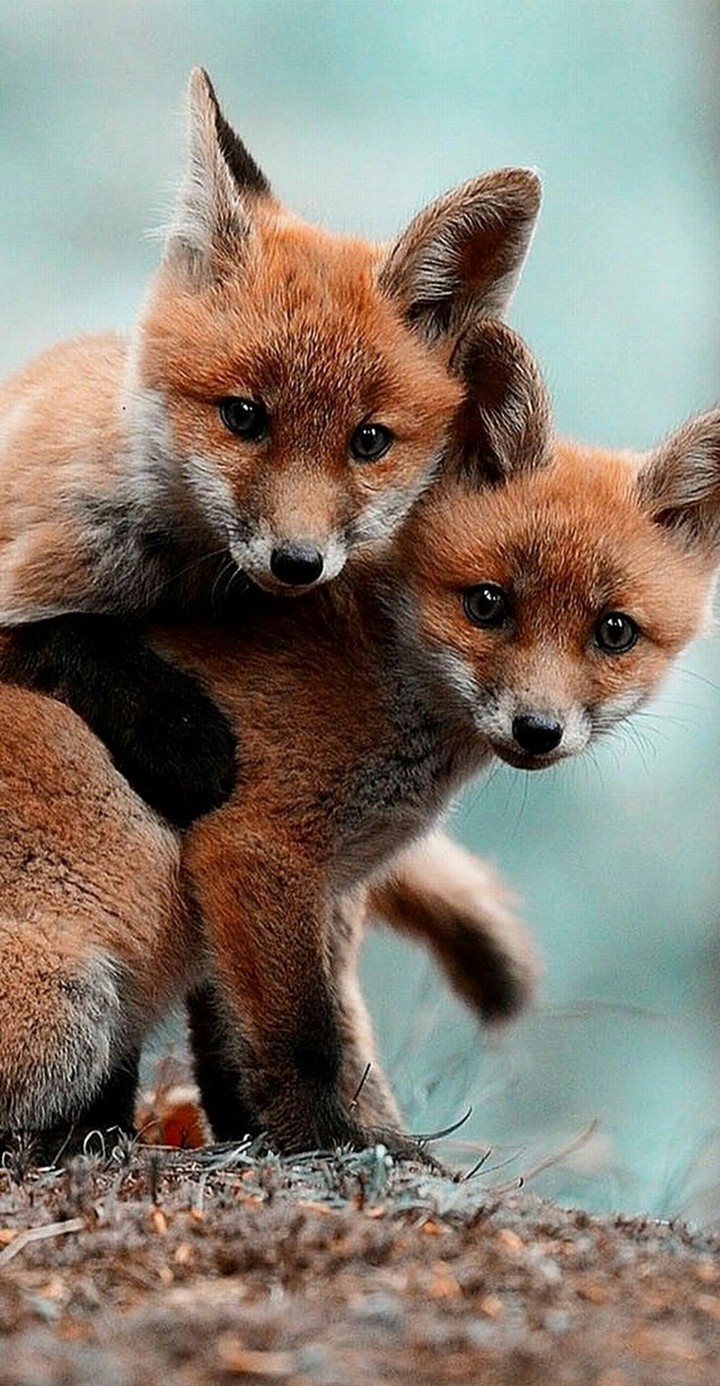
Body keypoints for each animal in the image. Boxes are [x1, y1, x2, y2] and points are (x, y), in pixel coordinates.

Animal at [1, 318, 718, 1157]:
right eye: (487, 604)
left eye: (613, 631)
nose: (537, 730)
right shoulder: (255, 851)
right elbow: (304, 1042)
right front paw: (327, 1138)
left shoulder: (320, 896)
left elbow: (292, 1044)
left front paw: (317, 1134)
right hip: (73, 1004)